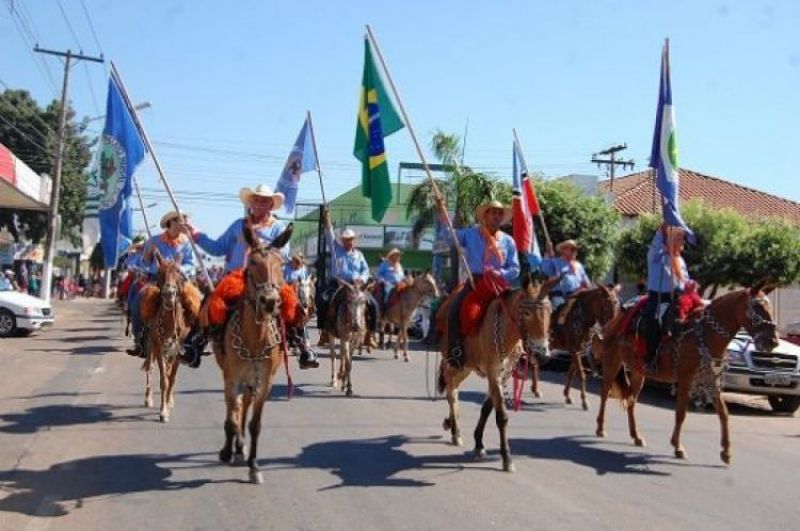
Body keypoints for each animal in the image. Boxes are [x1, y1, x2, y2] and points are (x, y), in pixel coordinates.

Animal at [138, 254, 200, 424]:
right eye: (160, 272)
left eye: (178, 271)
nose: (169, 294)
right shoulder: (159, 346)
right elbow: (164, 380)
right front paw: (163, 411)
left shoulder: (178, 348)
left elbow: (171, 378)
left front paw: (168, 404)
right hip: (152, 344)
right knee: (150, 367)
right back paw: (148, 398)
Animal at [216, 220, 294, 482]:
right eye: (252, 264)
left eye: (282, 265)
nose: (269, 301)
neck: (254, 342)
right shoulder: (232, 379)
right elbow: (232, 416)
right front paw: (227, 451)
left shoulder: (265, 384)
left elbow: (255, 424)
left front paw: (254, 465)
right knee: (234, 408)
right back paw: (231, 447)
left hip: (252, 381)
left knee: (244, 407)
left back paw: (241, 447)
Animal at [434, 274, 560, 474]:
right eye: (526, 313)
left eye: (550, 312)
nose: (543, 354)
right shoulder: (493, 373)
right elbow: (502, 416)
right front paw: (507, 458)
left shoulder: (504, 374)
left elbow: (487, 408)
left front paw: (479, 442)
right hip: (454, 362)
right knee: (451, 391)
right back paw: (455, 431)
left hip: (466, 367)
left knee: (453, 389)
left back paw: (450, 423)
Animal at [596, 282, 780, 466]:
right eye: (757, 306)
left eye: (770, 306)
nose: (773, 341)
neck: (705, 334)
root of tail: (617, 318)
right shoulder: (686, 380)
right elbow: (681, 413)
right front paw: (678, 447)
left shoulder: (711, 380)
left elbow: (723, 412)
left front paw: (726, 452)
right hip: (612, 361)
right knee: (605, 392)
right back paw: (600, 428)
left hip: (638, 372)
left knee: (631, 401)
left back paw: (636, 436)